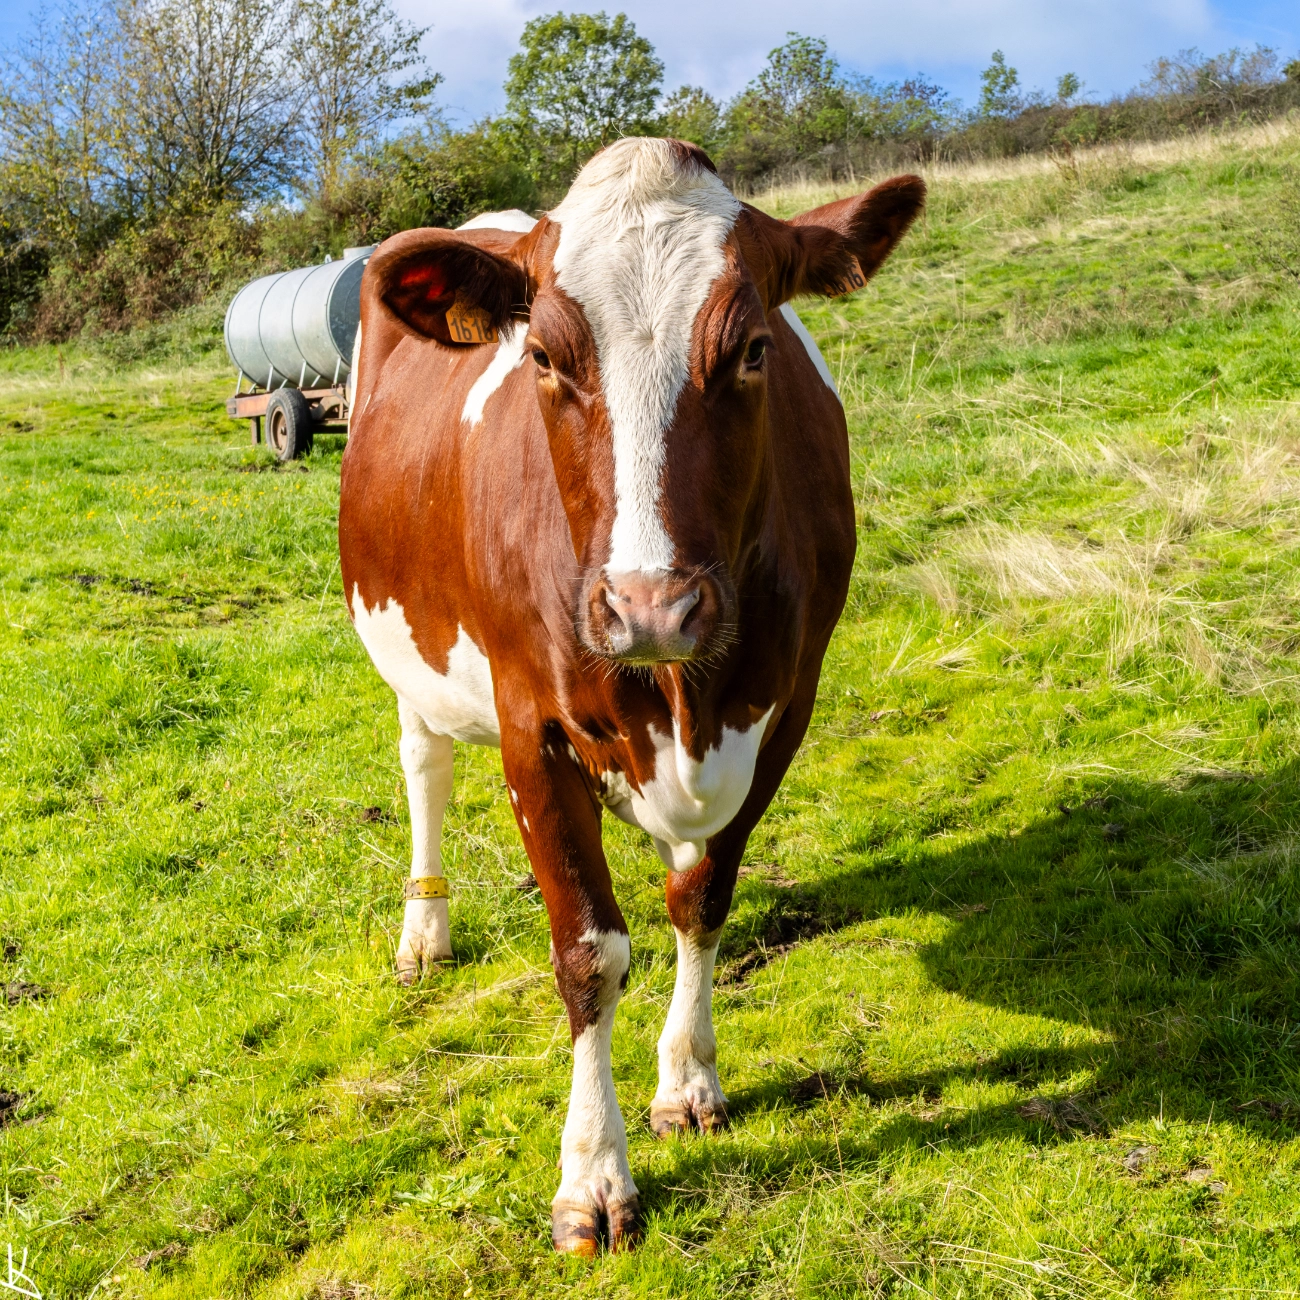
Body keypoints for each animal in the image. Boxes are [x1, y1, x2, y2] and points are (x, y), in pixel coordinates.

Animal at [339, 137, 924, 1255]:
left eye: (753, 349)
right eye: (542, 359)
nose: (652, 606)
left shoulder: (784, 710)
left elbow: (701, 900)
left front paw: (687, 1079)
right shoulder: (530, 729)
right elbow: (587, 955)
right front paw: (592, 1176)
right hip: (406, 645)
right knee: (424, 762)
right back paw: (424, 929)